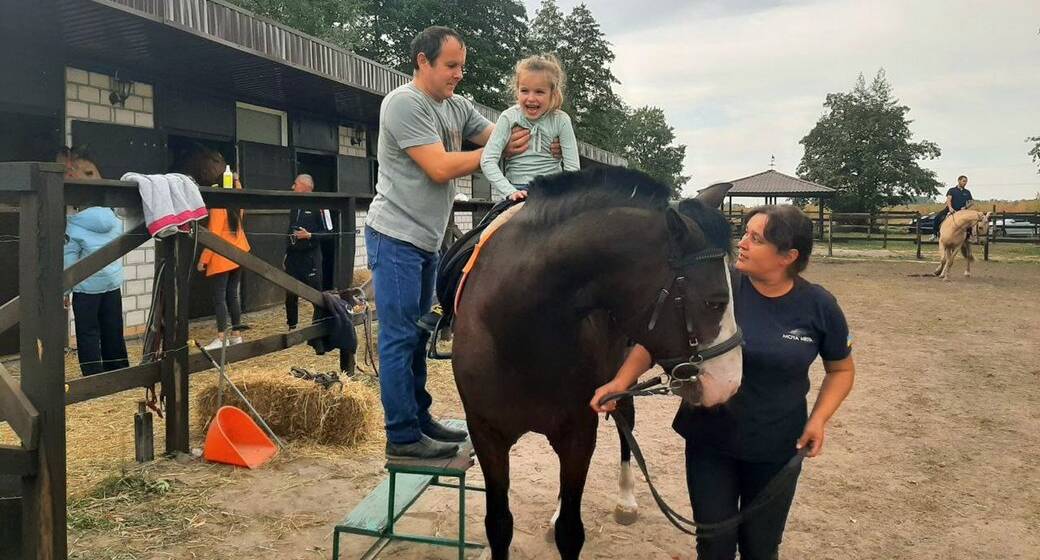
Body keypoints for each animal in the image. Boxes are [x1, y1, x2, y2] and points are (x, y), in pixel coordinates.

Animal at [451, 166, 744, 557]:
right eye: (715, 302)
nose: (729, 382)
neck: (516, 330)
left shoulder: (579, 434)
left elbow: (570, 531)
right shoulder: (487, 436)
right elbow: (499, 525)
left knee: (626, 423)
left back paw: (626, 501)